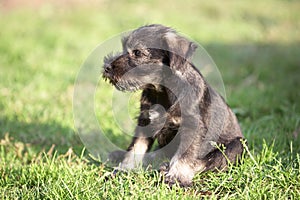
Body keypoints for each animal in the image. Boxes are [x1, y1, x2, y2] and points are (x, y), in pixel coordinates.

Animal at [102, 24, 245, 187]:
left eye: (137, 52)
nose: (106, 67)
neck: (161, 91)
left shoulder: (192, 127)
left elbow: (185, 155)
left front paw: (176, 177)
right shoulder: (145, 122)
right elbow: (136, 147)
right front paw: (124, 169)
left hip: (237, 145)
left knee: (209, 162)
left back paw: (165, 168)